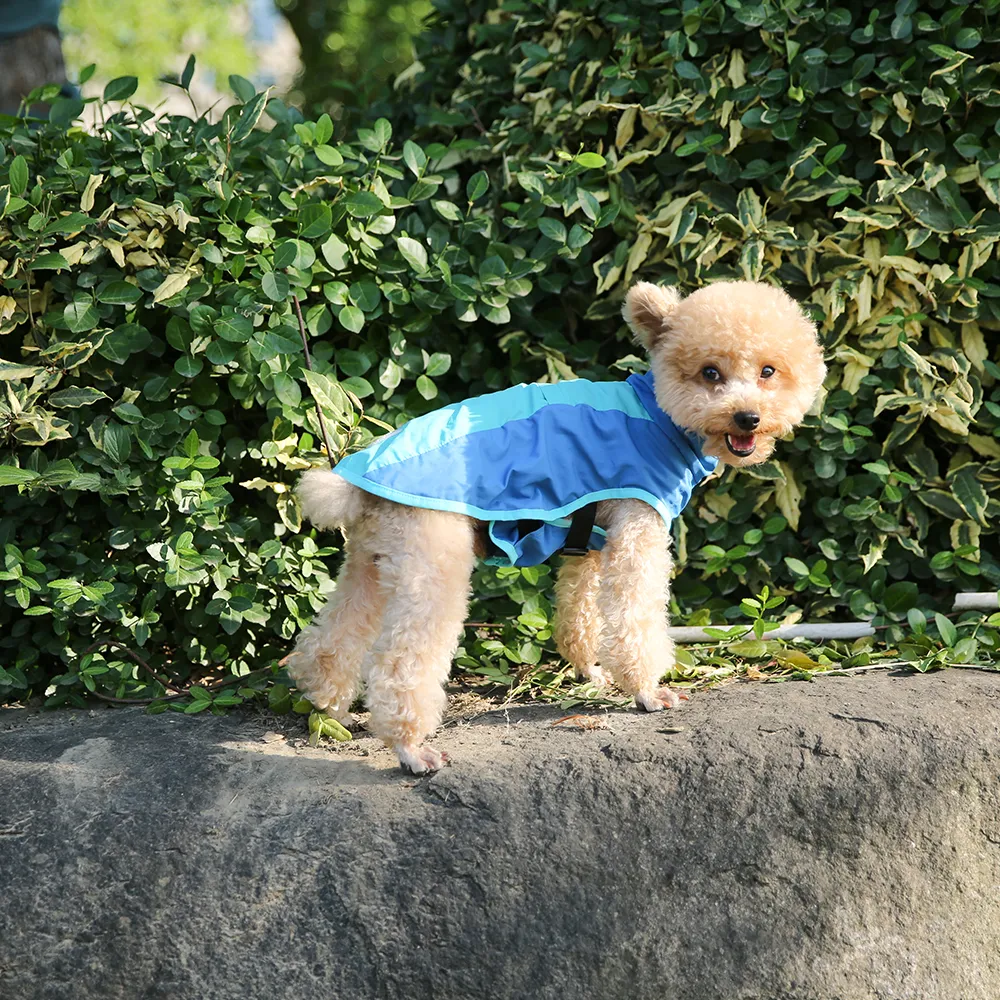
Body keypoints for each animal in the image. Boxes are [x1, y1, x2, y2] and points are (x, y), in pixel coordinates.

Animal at [286, 280, 827, 774]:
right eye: (710, 372)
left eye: (768, 371)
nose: (748, 417)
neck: (658, 416)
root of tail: (355, 483)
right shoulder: (637, 534)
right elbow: (635, 621)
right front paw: (647, 692)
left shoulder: (590, 543)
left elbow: (579, 618)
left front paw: (590, 672)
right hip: (433, 569)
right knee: (400, 666)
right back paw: (410, 749)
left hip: (372, 566)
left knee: (330, 641)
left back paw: (328, 709)